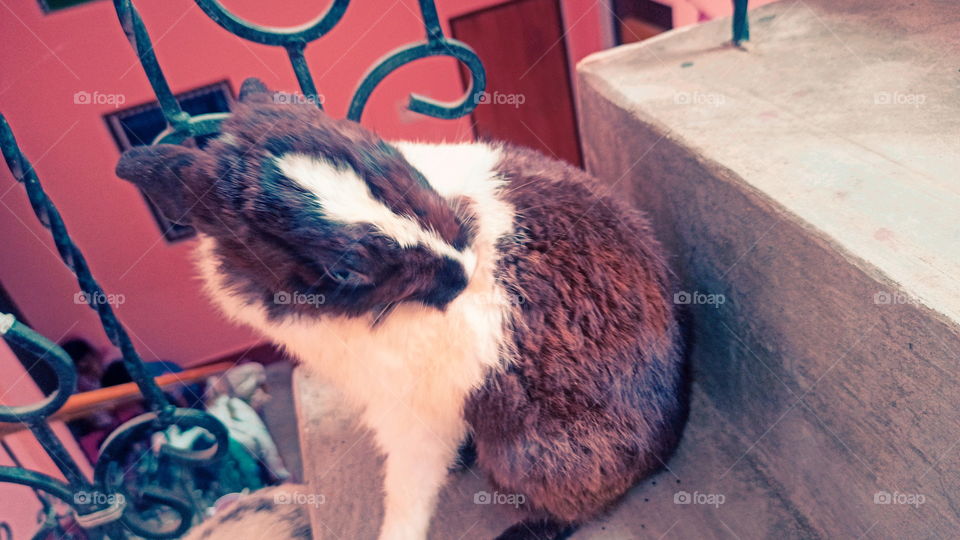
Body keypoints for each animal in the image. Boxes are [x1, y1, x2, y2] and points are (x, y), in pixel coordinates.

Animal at [115, 78, 688, 540]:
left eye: (403, 166)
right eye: (343, 269)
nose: (466, 269)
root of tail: (663, 446)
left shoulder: (413, 414)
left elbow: (408, 493)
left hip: (534, 454)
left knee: (575, 507)